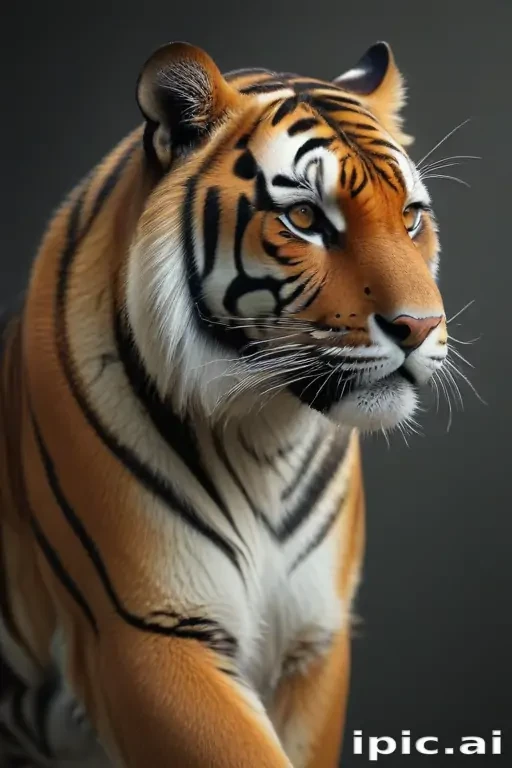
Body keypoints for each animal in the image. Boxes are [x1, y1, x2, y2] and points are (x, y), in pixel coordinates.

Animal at [0, 38, 447, 767]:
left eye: (410, 217)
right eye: (304, 219)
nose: (421, 326)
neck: (267, 434)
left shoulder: (313, 641)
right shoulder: (150, 633)